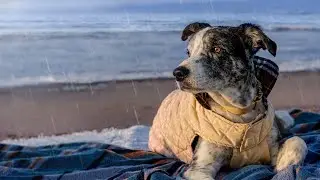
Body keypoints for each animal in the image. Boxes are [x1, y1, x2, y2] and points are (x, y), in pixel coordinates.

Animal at [149, 22, 308, 180]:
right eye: (189, 52)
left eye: (217, 49)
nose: (178, 73)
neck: (239, 110)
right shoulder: (199, 169)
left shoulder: (272, 145)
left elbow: (298, 141)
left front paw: (284, 165)